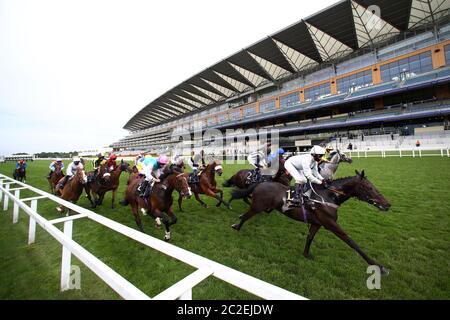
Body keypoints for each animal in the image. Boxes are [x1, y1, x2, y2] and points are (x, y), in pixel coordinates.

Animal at [232, 171, 390, 274]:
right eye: (369, 188)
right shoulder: (330, 224)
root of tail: (260, 184)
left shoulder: (317, 223)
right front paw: (379, 266)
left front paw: (306, 254)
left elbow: (310, 238)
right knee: (245, 216)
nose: (387, 204)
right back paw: (236, 226)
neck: (329, 196)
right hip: (257, 207)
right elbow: (350, 241)